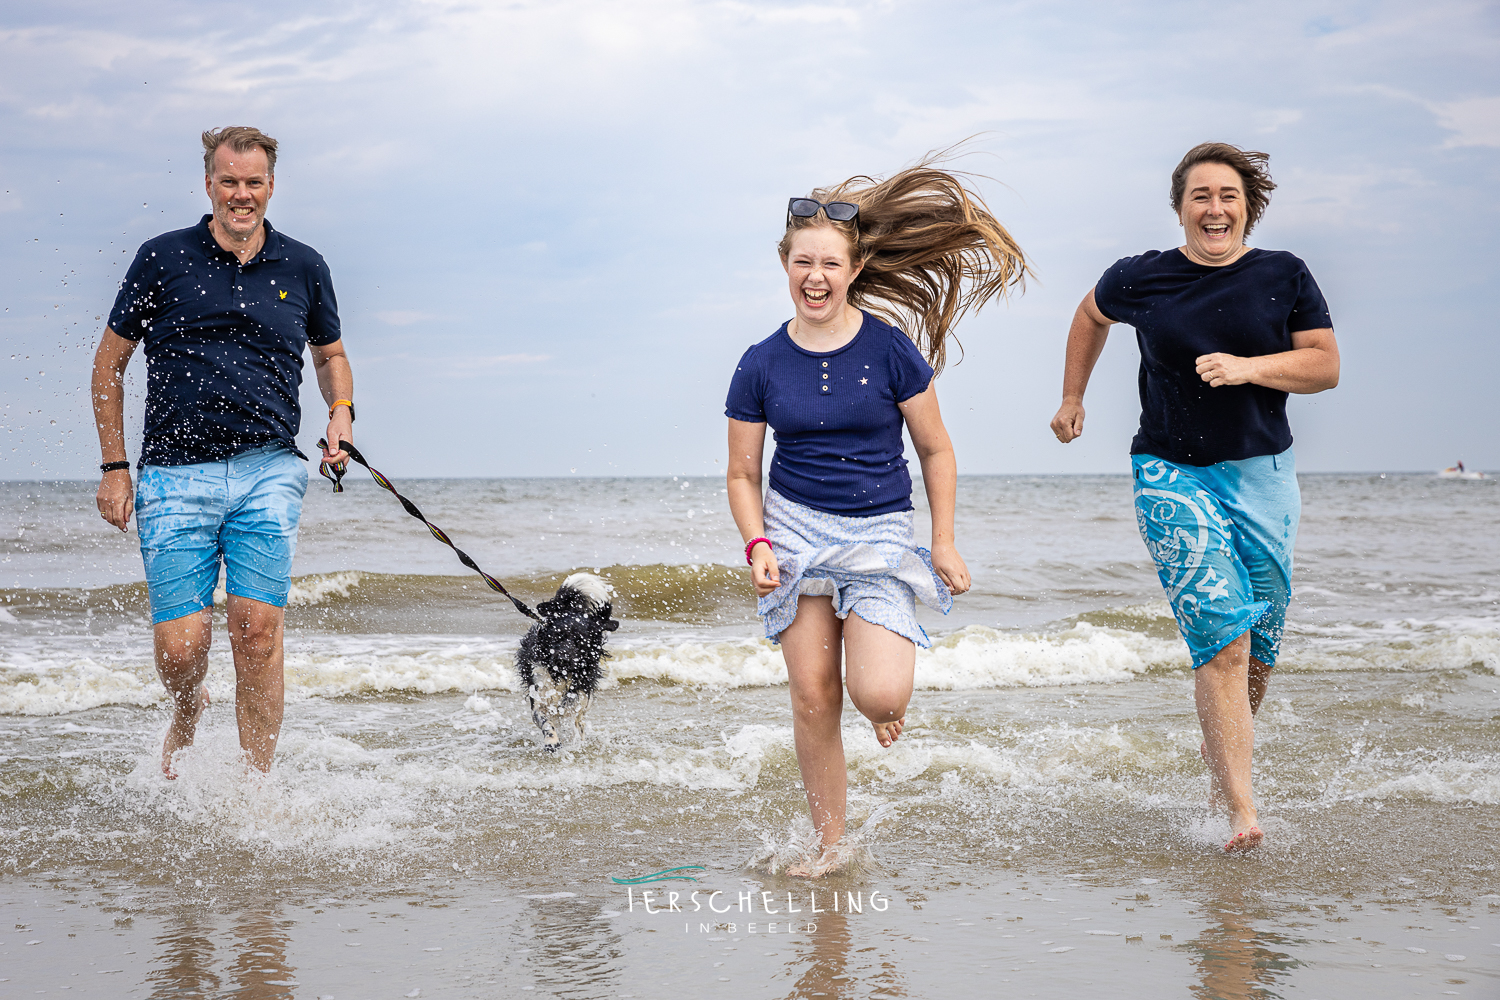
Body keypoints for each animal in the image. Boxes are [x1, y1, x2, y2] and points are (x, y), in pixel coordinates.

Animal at [513, 569, 612, 749]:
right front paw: (552, 740)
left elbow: (574, 715)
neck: (560, 674)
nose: (563, 658)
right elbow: (546, 722)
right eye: (557, 636)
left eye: (581, 641)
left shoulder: (580, 696)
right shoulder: (539, 698)